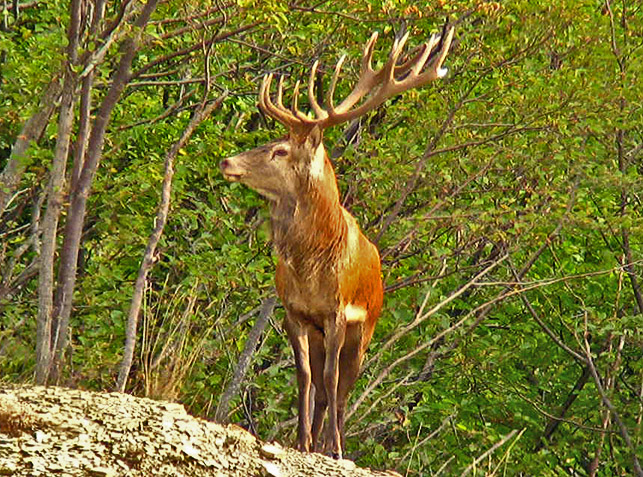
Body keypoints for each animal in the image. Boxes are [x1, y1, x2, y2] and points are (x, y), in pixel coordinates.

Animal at [219, 26, 456, 458]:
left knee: (343, 388)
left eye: (280, 150)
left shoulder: (338, 311)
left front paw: (335, 448)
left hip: (366, 327)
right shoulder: (295, 312)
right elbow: (305, 377)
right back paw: (316, 438)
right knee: (322, 384)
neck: (310, 264)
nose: (228, 162)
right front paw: (302, 441)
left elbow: (329, 381)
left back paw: (335, 441)